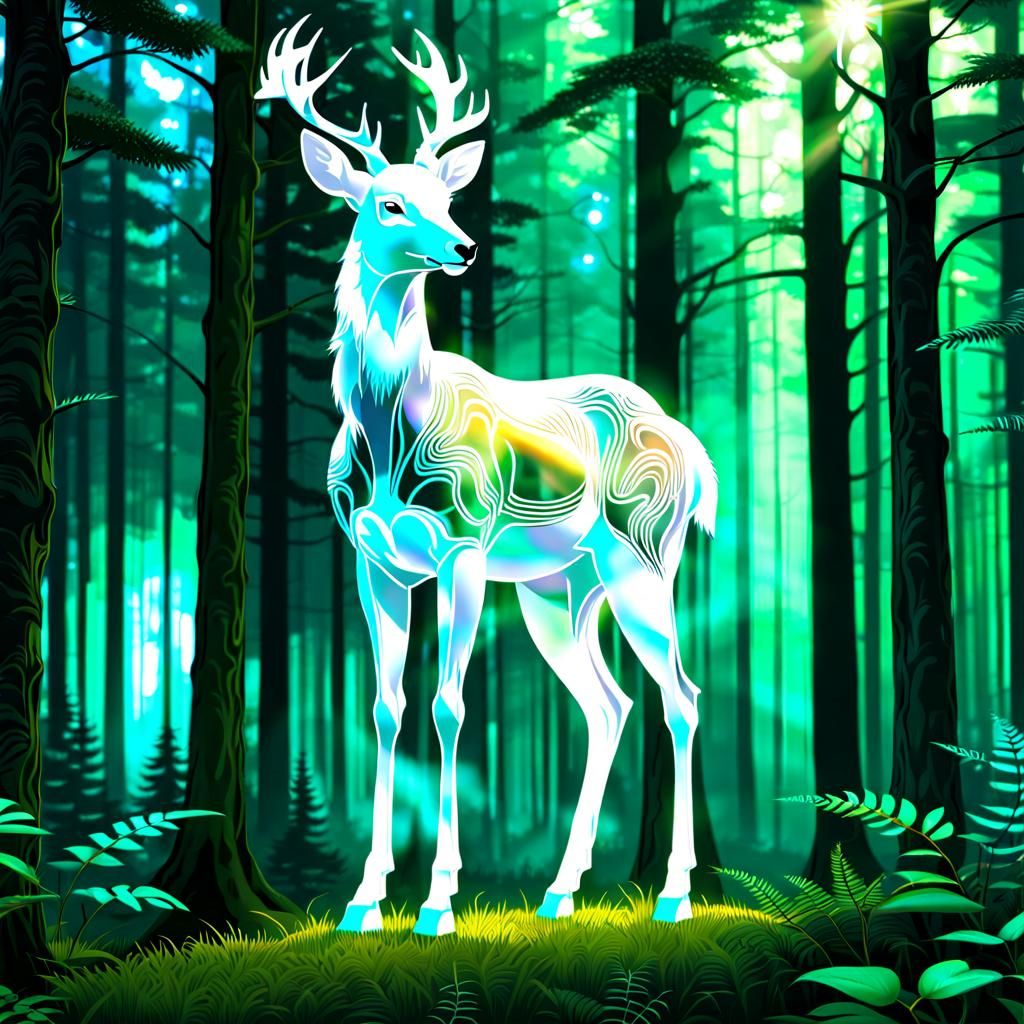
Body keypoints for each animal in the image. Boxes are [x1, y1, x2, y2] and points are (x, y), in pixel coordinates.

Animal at [256, 17, 718, 937]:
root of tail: (692, 447)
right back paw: (560, 891)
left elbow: (449, 705)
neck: (390, 432)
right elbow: (385, 708)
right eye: (389, 202)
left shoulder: (463, 544)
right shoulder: (373, 558)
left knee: (680, 694)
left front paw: (438, 899)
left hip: (644, 554)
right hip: (556, 587)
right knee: (609, 704)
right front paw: (365, 898)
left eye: (446, 196)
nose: (464, 246)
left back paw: (676, 893)